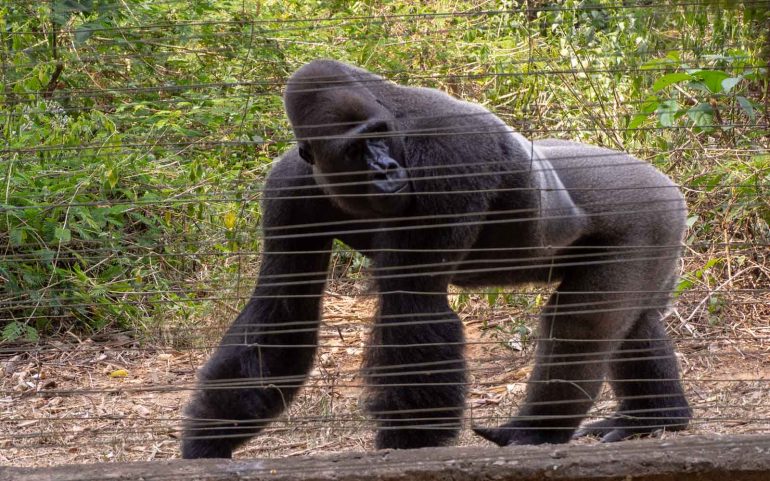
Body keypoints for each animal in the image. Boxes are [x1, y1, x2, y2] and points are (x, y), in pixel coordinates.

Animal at [181, 59, 691, 458]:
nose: (386, 170)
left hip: (650, 210)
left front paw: (408, 446)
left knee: (581, 324)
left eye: (379, 136)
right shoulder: (288, 186)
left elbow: (413, 305)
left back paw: (535, 431)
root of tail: (664, 179)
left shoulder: (448, 153)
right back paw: (654, 417)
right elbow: (282, 310)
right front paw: (209, 440)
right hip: (663, 226)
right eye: (355, 148)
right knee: (633, 323)